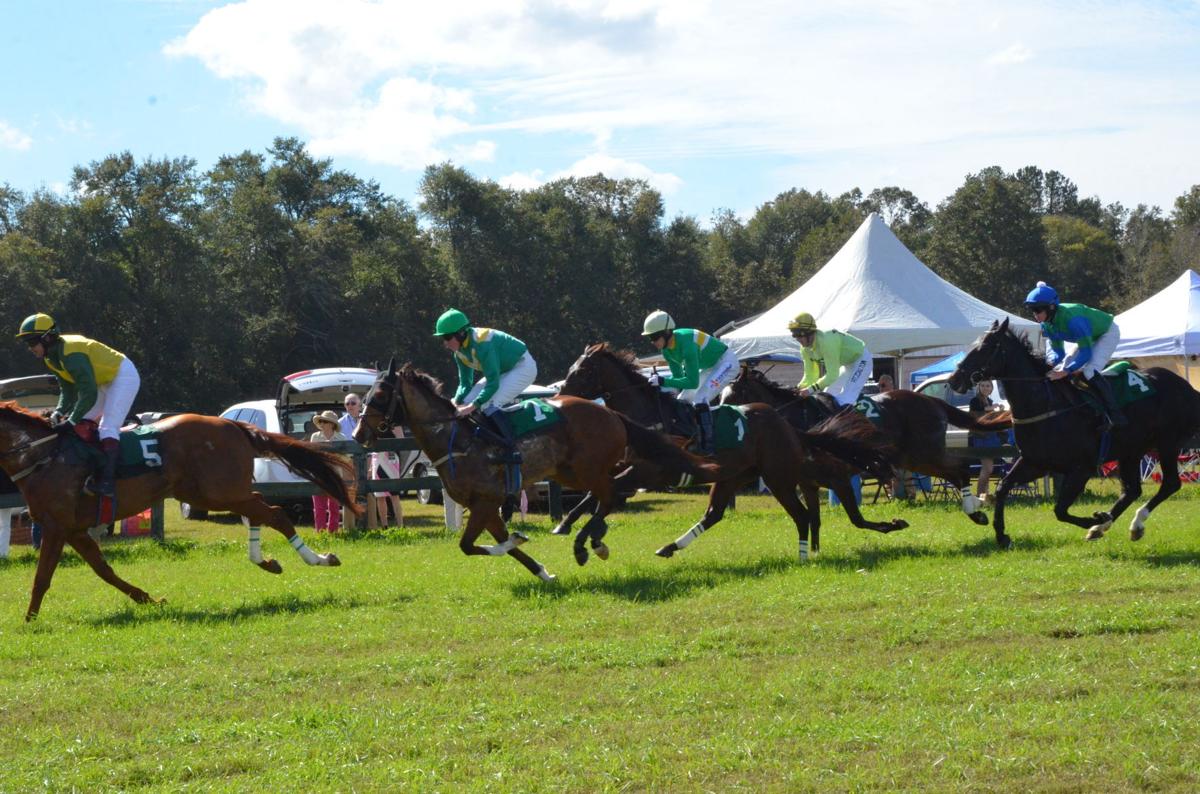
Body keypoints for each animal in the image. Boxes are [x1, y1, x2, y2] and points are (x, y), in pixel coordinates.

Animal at [0, 405, 357, 623]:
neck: (42, 456)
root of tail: (234, 424)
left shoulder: (56, 526)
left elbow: (42, 577)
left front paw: (29, 621)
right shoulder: (73, 529)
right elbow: (104, 570)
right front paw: (148, 599)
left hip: (219, 491)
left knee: (276, 514)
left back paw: (320, 559)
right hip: (212, 492)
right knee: (259, 508)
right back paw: (266, 560)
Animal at [350, 359, 720, 578]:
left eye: (379, 394)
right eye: (365, 395)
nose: (358, 434)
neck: (456, 440)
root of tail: (610, 412)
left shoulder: (485, 502)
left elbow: (470, 546)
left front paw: (520, 537)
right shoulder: (484, 506)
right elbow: (495, 545)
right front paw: (541, 570)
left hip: (587, 469)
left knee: (610, 495)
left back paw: (586, 542)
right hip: (568, 471)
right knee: (606, 496)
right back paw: (590, 539)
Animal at [554, 345, 902, 563]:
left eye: (582, 372)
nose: (558, 398)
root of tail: (788, 427)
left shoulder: (650, 472)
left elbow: (610, 493)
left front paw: (590, 540)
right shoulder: (623, 468)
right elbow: (598, 492)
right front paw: (569, 525)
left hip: (779, 478)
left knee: (808, 515)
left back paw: (810, 553)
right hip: (735, 476)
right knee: (715, 514)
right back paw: (669, 547)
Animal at [720, 364, 1012, 525]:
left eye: (733, 394)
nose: (720, 418)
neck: (797, 418)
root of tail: (932, 400)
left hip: (925, 454)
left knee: (960, 470)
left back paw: (977, 511)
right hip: (912, 459)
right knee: (955, 473)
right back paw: (976, 510)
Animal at [945, 321, 1200, 551]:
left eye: (985, 347)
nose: (954, 380)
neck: (1046, 405)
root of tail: (1187, 388)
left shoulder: (1081, 468)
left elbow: (1059, 510)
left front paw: (1095, 519)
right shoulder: (1035, 463)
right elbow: (1002, 488)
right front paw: (1001, 536)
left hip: (1167, 443)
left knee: (1170, 484)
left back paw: (1132, 523)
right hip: (1131, 450)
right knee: (1132, 490)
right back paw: (1110, 526)